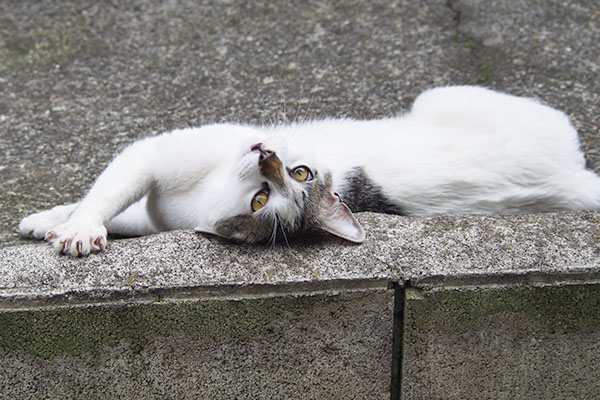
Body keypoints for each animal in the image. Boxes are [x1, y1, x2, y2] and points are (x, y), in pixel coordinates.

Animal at [17, 86, 600, 258]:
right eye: (298, 173)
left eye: (264, 198)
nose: (267, 156)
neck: (205, 190)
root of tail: (573, 180)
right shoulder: (154, 186)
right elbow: (112, 200)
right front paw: (52, 220)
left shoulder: (153, 162)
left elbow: (110, 198)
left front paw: (74, 228)